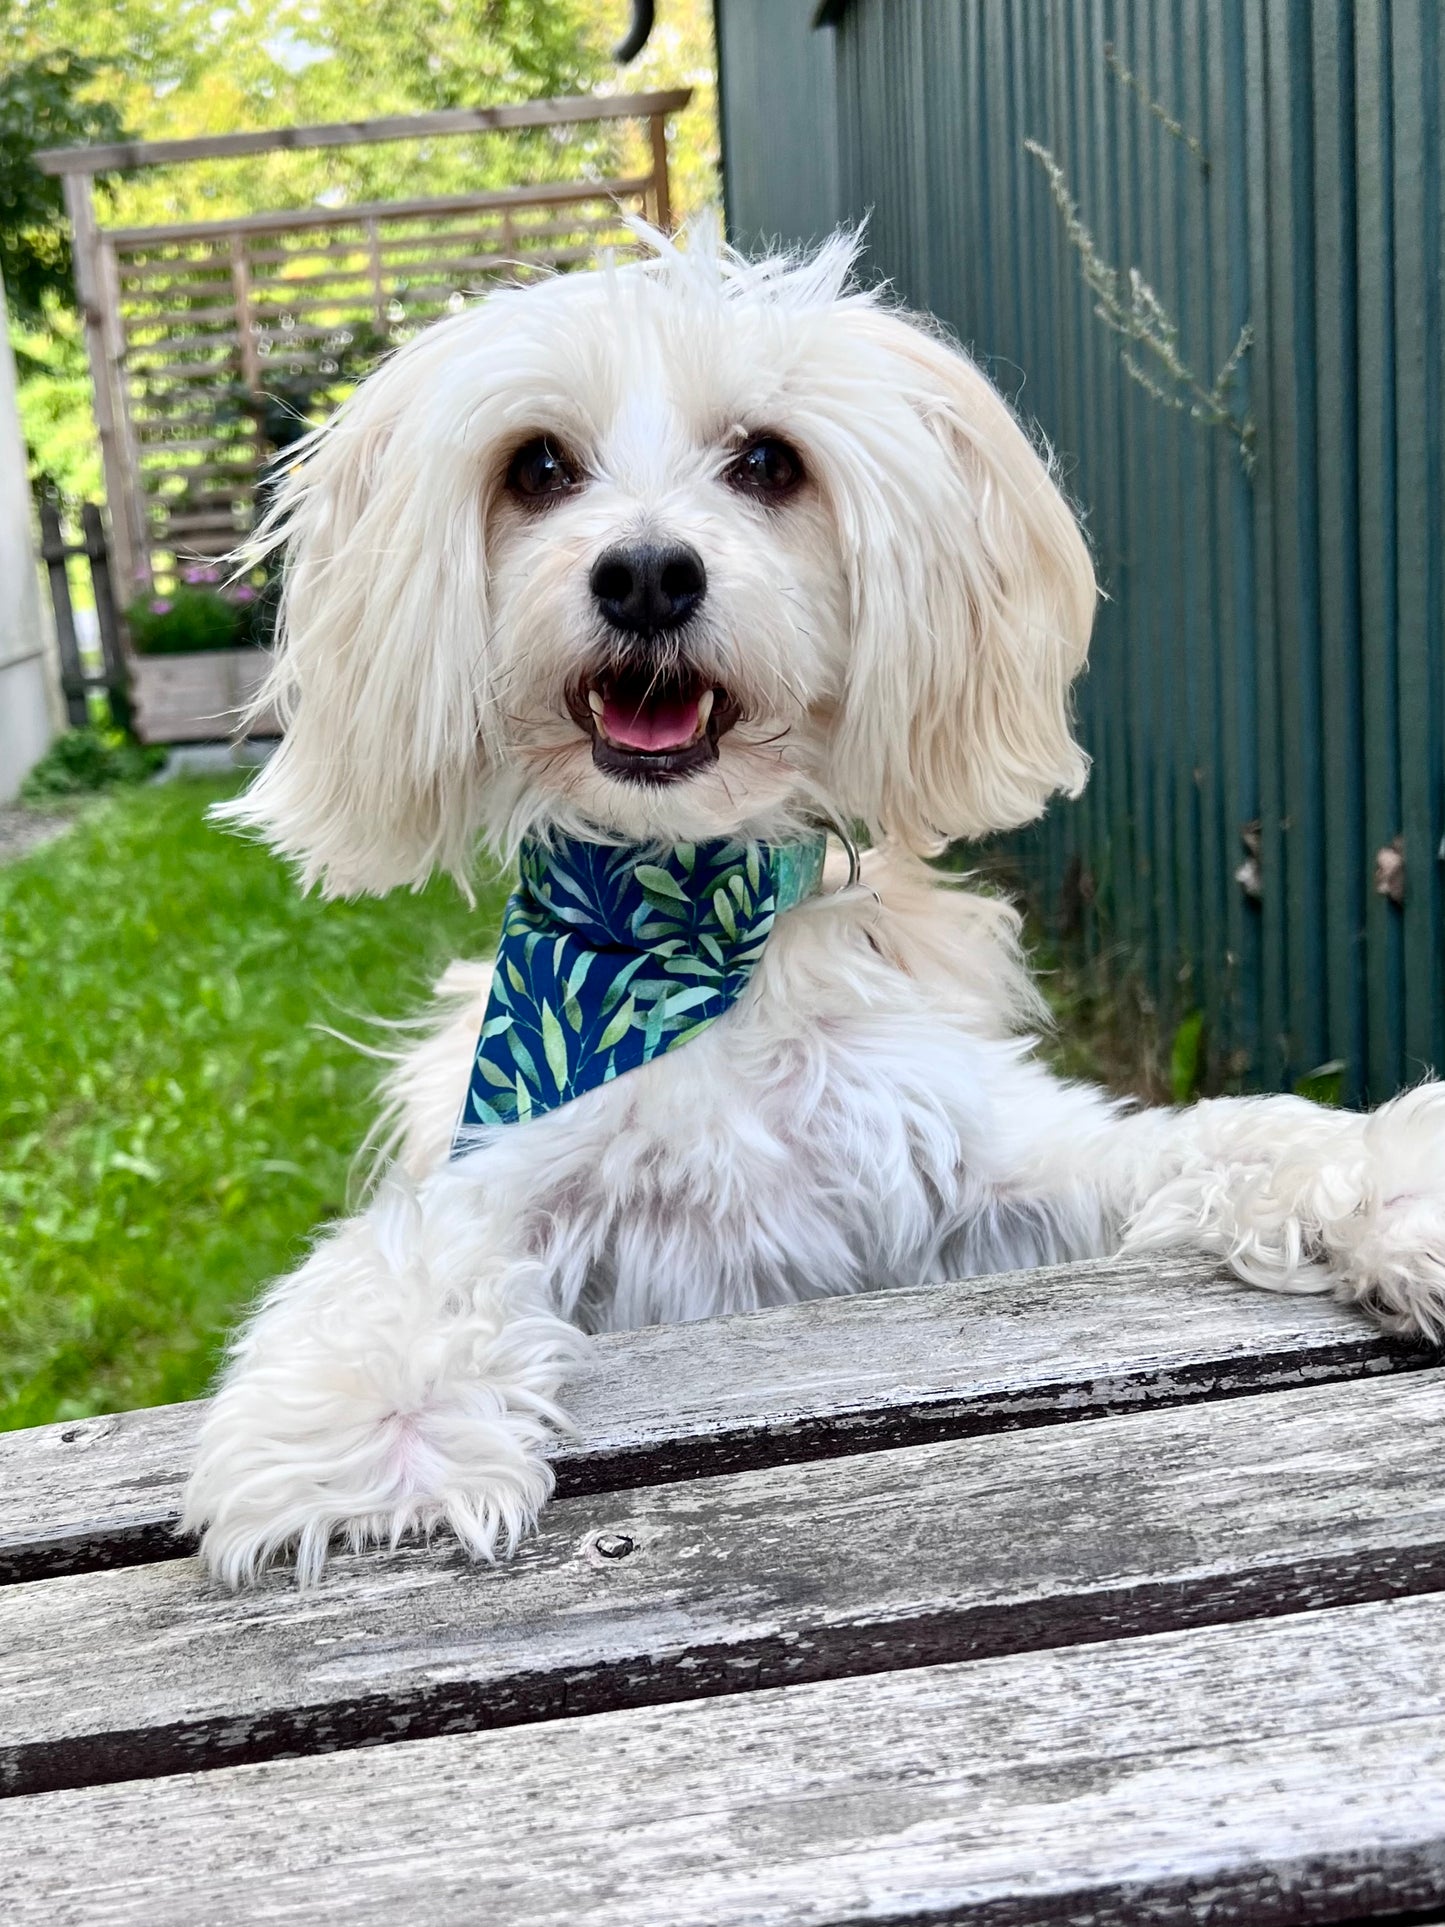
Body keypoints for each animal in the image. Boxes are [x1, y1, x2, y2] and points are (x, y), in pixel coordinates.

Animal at [186, 225, 1441, 1587]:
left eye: (767, 462)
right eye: (537, 466)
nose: (645, 573)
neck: (688, 929)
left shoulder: (970, 1175)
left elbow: (1218, 1137)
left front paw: (1392, 1191)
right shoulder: (514, 1173)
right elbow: (403, 1256)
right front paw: (375, 1433)